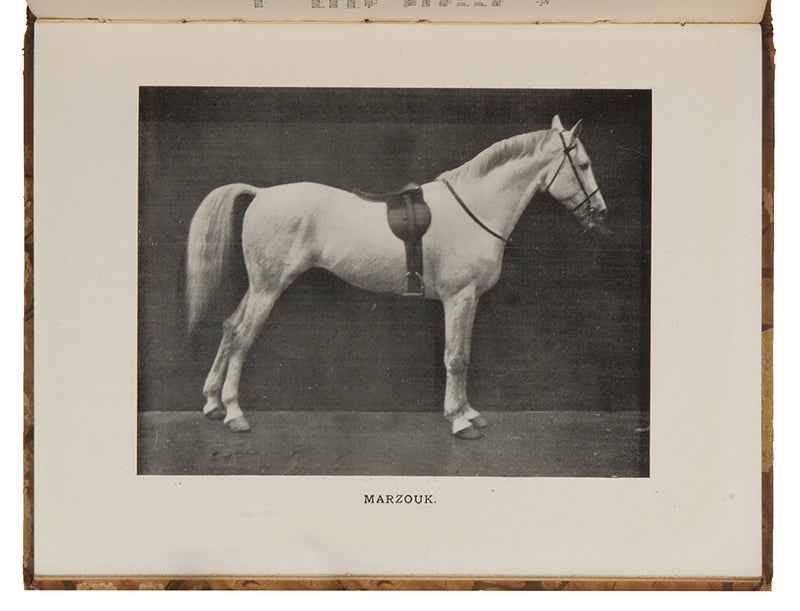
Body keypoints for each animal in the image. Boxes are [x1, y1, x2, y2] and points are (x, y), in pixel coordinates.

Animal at [186, 115, 608, 439]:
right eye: (584, 165)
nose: (601, 212)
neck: (474, 208)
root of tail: (261, 193)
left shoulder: (470, 299)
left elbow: (465, 355)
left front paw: (469, 412)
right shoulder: (459, 296)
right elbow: (455, 357)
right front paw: (459, 422)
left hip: (260, 285)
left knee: (229, 327)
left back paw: (212, 402)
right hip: (269, 287)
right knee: (243, 336)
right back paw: (234, 412)